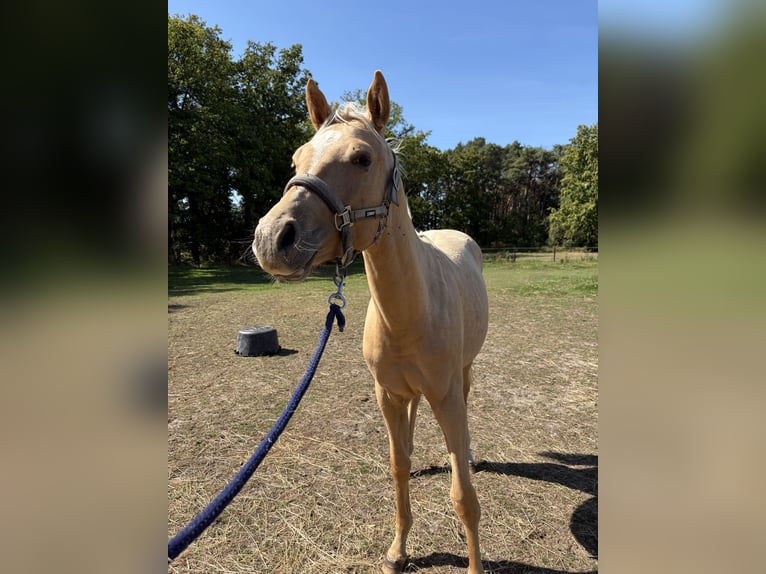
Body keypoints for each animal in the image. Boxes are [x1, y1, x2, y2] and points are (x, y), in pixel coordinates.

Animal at [253, 70, 489, 574]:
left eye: (362, 158)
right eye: (296, 158)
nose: (272, 238)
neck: (410, 313)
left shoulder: (445, 396)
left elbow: (464, 497)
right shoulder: (387, 394)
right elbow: (397, 467)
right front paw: (398, 551)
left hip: (463, 374)